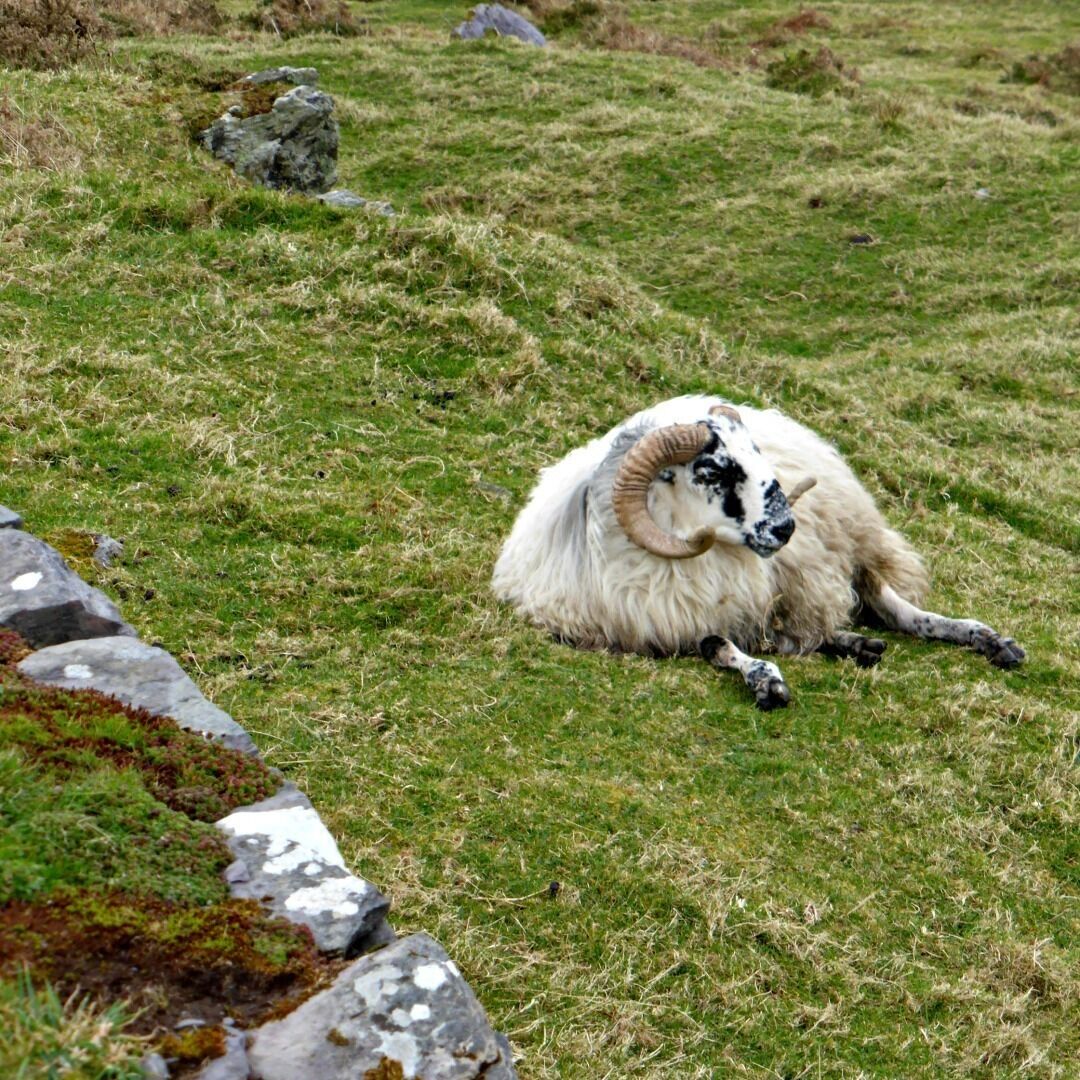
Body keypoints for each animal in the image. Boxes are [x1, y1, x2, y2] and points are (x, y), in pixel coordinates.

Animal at [492, 395, 1025, 709]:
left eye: (756, 455)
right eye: (711, 470)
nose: (787, 527)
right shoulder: (669, 628)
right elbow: (718, 644)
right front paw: (767, 681)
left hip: (840, 547)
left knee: (893, 606)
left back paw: (989, 640)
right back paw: (856, 644)